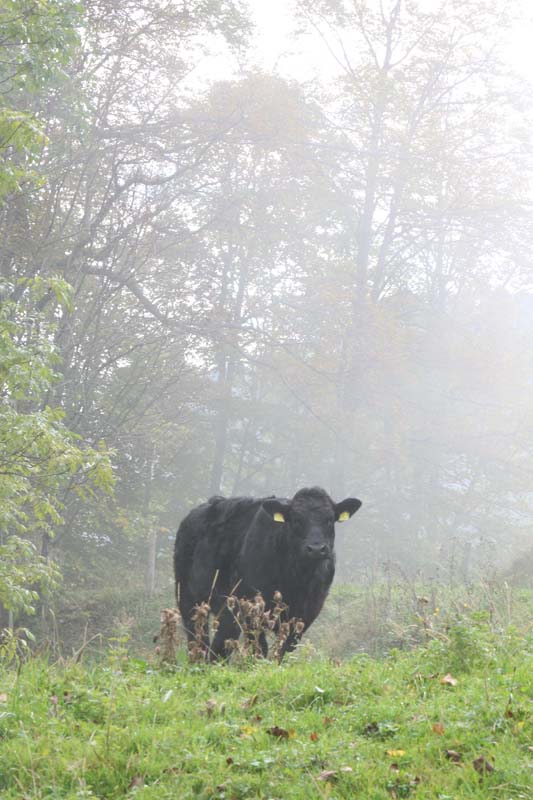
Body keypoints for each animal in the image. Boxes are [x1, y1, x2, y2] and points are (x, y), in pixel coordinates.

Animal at [174, 486, 362, 660]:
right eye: (296, 519)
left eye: (329, 519)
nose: (316, 549)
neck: (298, 579)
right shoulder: (250, 605)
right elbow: (260, 647)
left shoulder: (308, 610)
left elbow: (285, 648)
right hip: (188, 598)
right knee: (198, 639)